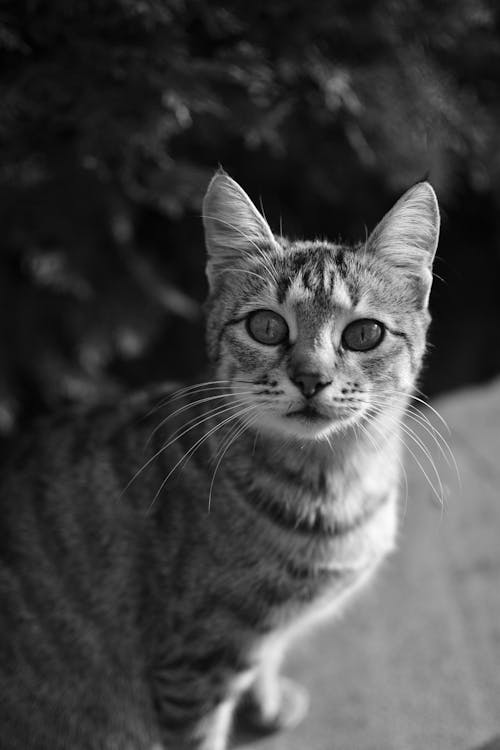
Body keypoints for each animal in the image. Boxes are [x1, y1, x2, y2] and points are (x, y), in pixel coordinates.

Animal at [0, 172, 438, 750]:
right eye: (267, 327)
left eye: (364, 333)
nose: (311, 378)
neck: (336, 480)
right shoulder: (193, 665)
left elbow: (269, 656)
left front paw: (268, 702)